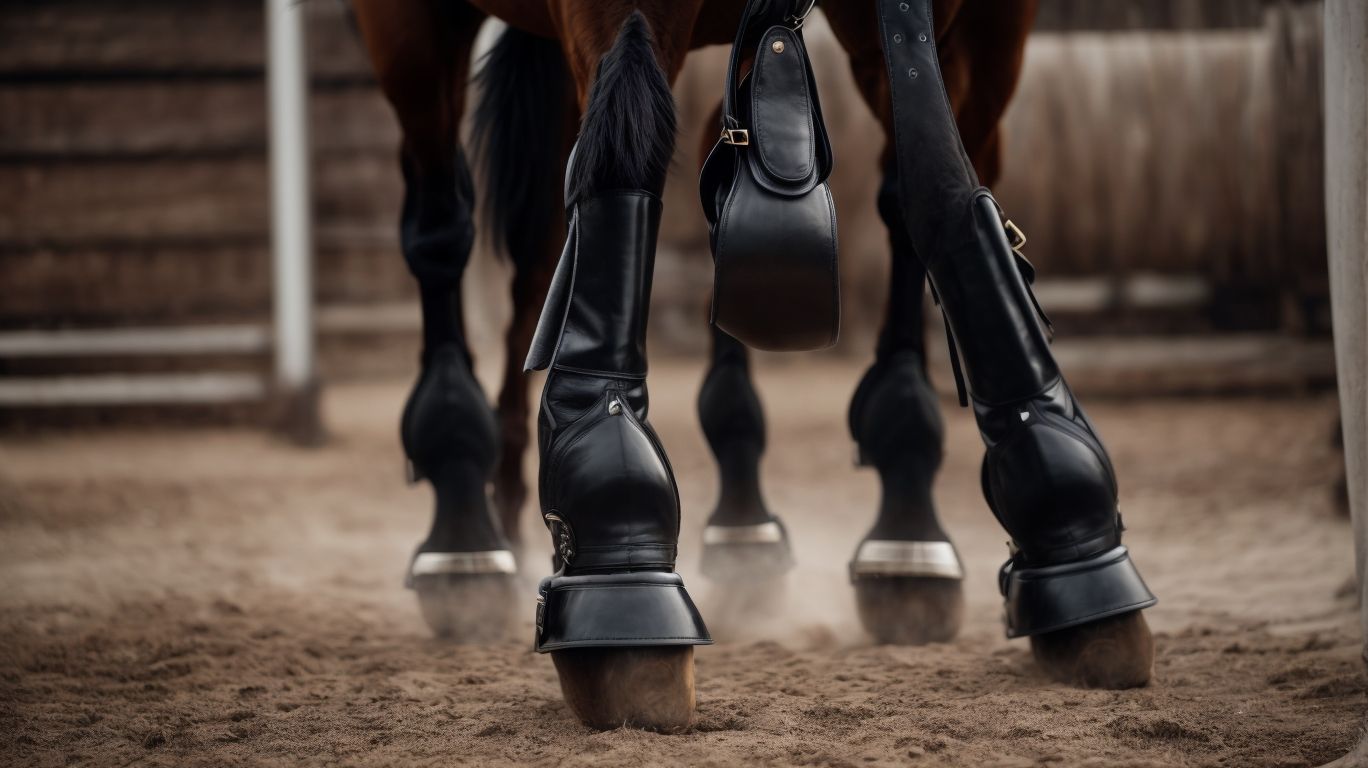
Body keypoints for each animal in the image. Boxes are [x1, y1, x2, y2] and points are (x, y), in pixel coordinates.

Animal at [350, 0, 1157, 730]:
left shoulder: (985, 23)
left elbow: (939, 183)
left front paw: (1056, 524)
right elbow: (619, 154)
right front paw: (619, 576)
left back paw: (747, 529)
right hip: (415, 36)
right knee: (448, 222)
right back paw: (468, 535)